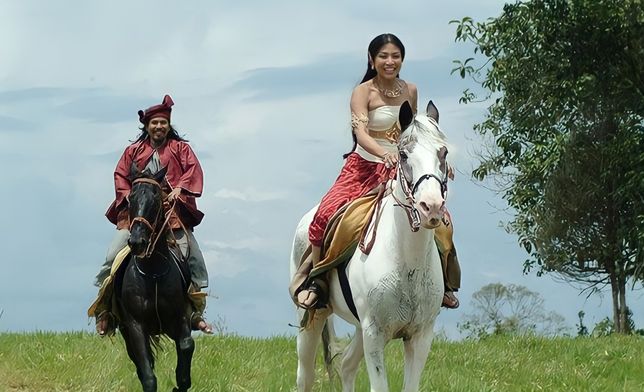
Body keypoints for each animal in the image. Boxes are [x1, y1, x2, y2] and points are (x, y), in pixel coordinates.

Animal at [114, 165, 194, 392]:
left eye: (156, 198)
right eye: (131, 198)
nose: (137, 241)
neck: (153, 273)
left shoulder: (180, 317)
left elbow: (187, 345)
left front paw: (181, 383)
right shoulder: (135, 326)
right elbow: (148, 373)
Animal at [290, 102, 450, 392]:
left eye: (443, 152)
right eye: (403, 154)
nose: (431, 206)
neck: (406, 261)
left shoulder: (420, 336)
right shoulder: (375, 334)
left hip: (359, 329)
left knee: (346, 366)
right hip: (312, 318)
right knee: (305, 375)